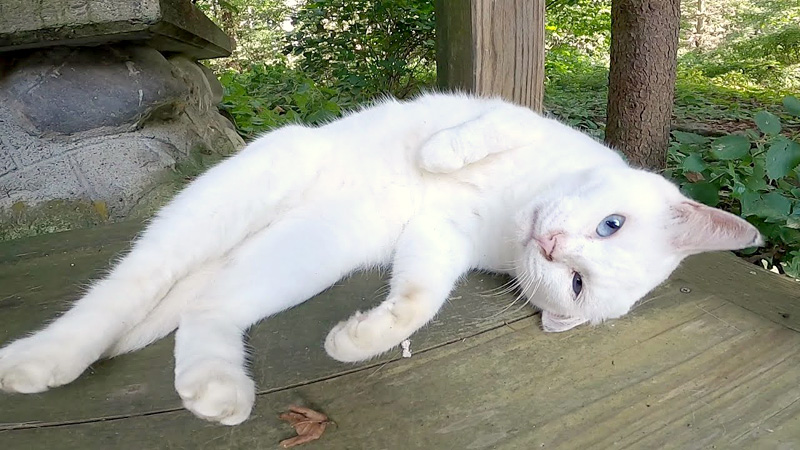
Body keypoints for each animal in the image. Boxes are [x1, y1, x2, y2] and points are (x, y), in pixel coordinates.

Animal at [0, 92, 760, 426]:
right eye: (609, 225)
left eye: (575, 283)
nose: (549, 246)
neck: (515, 207)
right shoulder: (513, 116)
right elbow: (487, 129)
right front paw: (441, 153)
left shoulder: (438, 240)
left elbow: (420, 297)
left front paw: (362, 339)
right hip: (246, 191)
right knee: (128, 285)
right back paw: (45, 358)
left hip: (307, 250)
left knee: (206, 308)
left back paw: (215, 388)